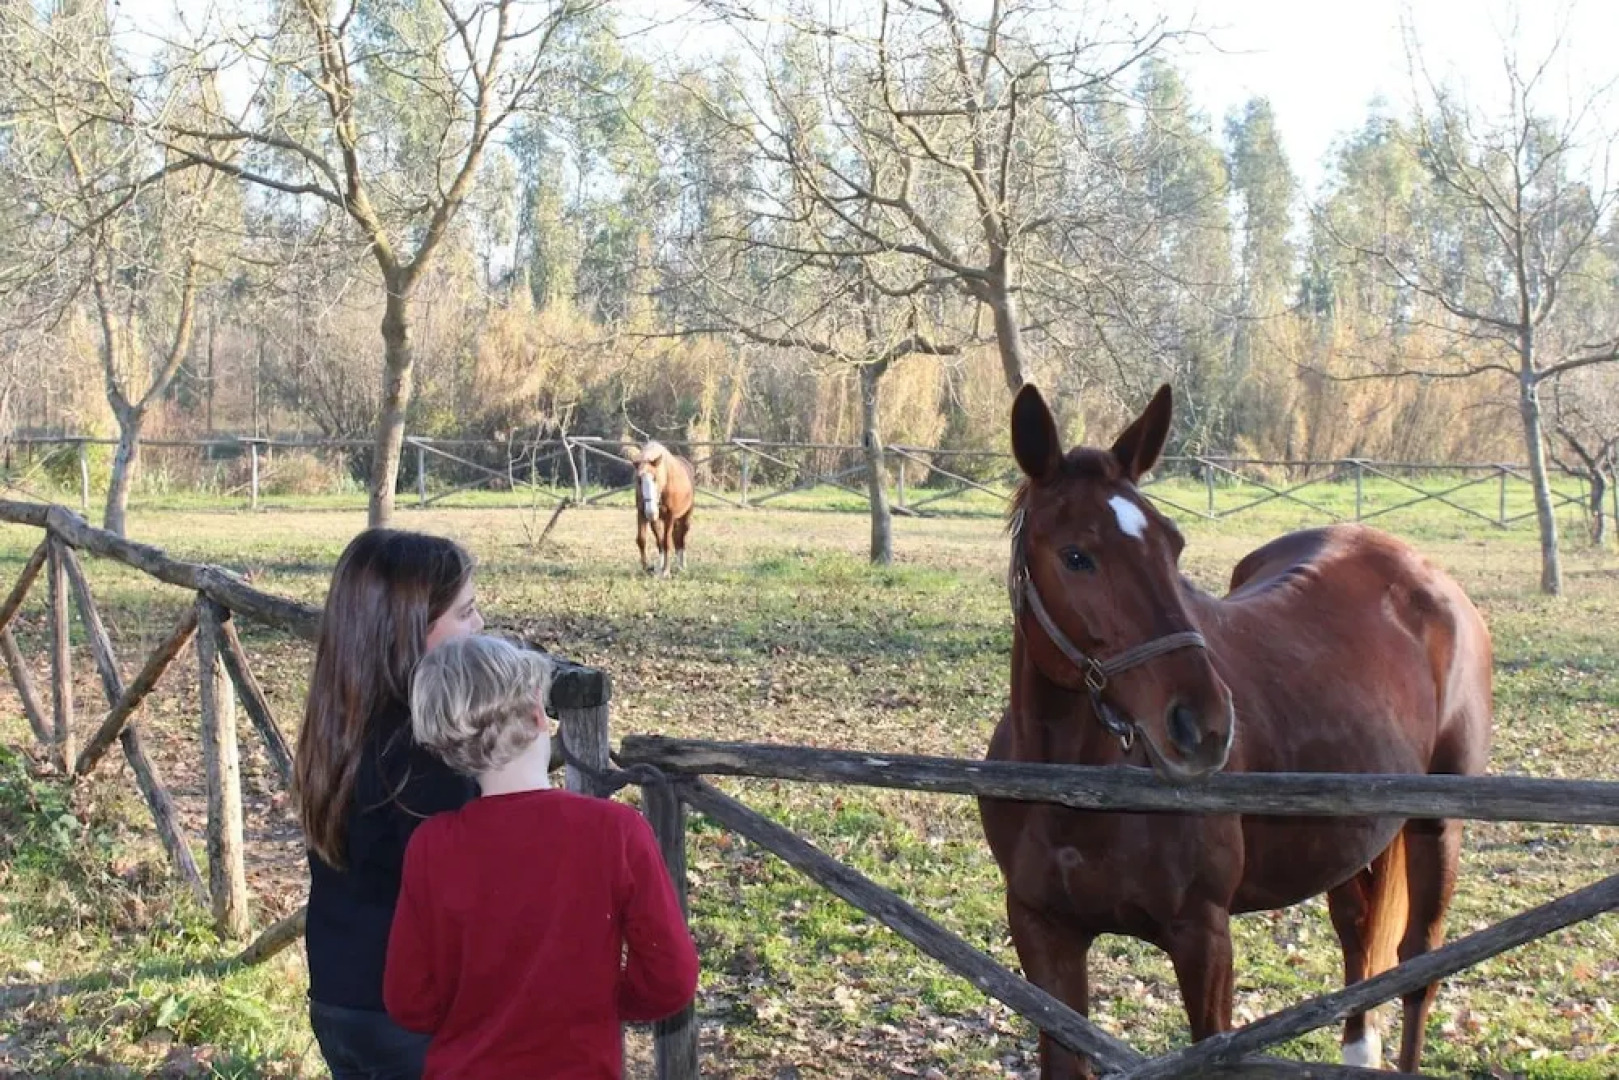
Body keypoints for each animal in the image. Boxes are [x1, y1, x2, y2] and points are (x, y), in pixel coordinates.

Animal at [628, 440, 695, 577]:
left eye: (655, 478)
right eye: (639, 480)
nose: (651, 512)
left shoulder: (670, 516)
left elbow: (666, 542)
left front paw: (666, 571)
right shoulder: (642, 513)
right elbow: (644, 540)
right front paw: (647, 567)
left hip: (685, 517)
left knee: (681, 538)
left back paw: (682, 565)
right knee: (669, 539)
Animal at [978, 383, 1492, 1077]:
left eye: (1172, 545)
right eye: (1076, 556)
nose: (1205, 726)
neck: (1076, 794)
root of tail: (1426, 576)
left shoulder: (1203, 939)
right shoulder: (1043, 931)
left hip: (1437, 828)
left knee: (1417, 967)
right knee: (1358, 935)